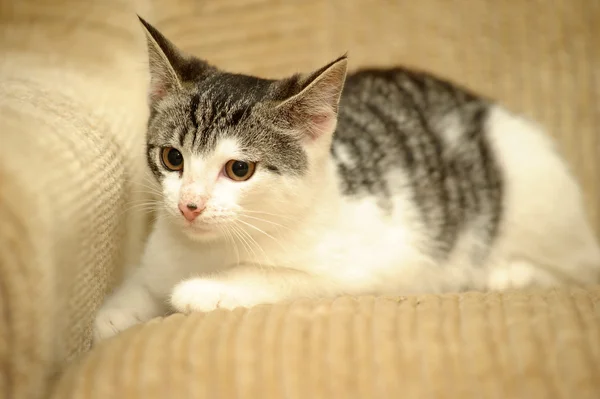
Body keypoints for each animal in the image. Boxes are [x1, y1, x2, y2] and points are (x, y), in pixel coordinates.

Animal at [91, 17, 596, 344]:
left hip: (531, 185)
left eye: (239, 169)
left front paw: (206, 289)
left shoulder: (379, 266)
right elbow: (140, 287)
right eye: (172, 158)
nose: (189, 205)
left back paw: (510, 273)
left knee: (578, 267)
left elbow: (283, 276)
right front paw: (116, 312)